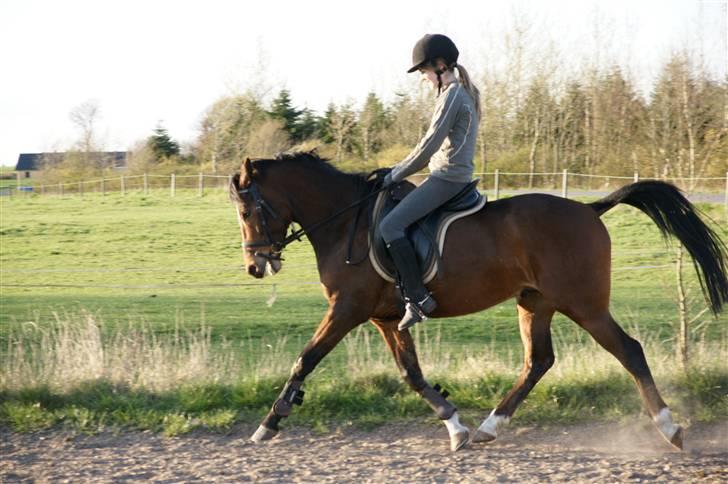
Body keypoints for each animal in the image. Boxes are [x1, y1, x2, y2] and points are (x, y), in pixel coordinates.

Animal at [229, 151, 728, 452]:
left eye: (248, 210)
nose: (256, 265)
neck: (344, 222)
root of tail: (588, 208)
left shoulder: (347, 310)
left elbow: (305, 359)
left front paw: (268, 424)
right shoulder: (385, 319)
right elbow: (412, 375)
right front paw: (456, 426)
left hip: (584, 304)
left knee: (629, 351)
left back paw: (670, 428)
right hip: (535, 303)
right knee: (538, 362)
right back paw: (491, 426)